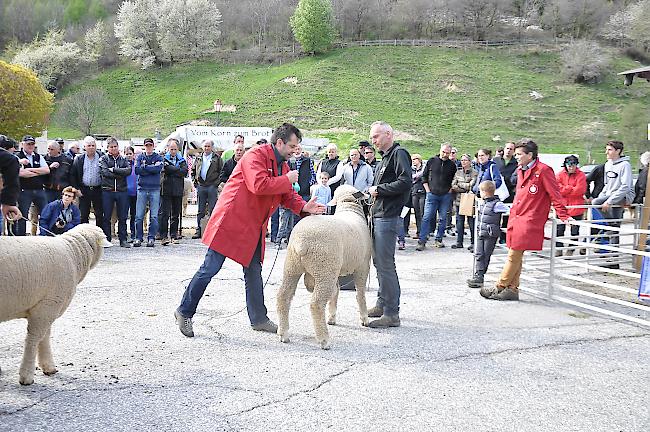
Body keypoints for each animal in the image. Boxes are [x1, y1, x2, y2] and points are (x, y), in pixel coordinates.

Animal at [0, 223, 105, 384]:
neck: (73, 253)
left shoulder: (47, 308)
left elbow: (45, 337)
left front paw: (48, 367)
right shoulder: (47, 305)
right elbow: (34, 338)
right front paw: (26, 376)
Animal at [274, 184, 370, 350]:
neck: (349, 208)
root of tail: (301, 241)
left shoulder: (336, 269)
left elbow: (336, 291)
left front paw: (332, 316)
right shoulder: (363, 265)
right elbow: (360, 294)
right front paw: (364, 318)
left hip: (294, 267)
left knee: (283, 297)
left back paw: (283, 333)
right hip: (324, 269)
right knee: (316, 304)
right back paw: (324, 339)